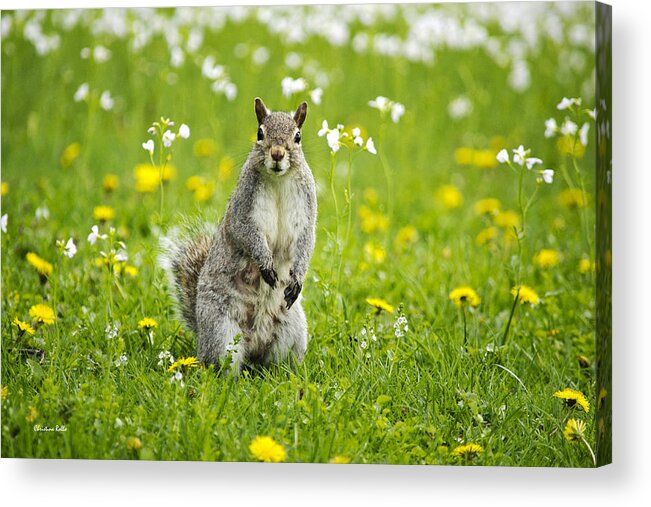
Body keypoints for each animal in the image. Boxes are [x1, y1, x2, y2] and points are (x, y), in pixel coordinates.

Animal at [160, 99, 318, 376]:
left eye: (297, 136)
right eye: (260, 133)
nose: (277, 154)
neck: (279, 180)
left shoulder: (307, 212)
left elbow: (306, 242)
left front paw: (297, 278)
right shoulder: (242, 211)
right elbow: (247, 234)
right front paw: (266, 265)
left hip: (292, 331)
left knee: (278, 363)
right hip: (221, 330)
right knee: (221, 365)